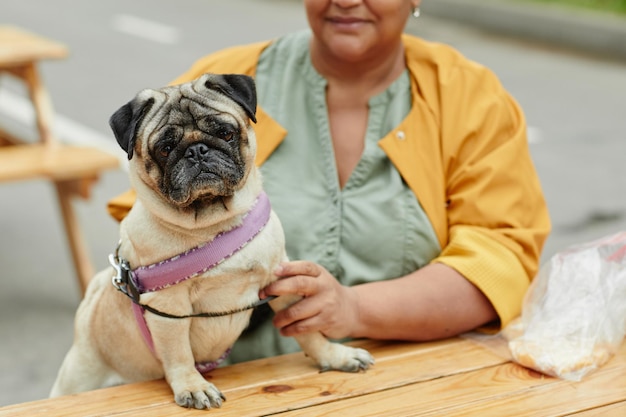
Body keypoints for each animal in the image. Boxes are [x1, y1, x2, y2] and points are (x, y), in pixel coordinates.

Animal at [50, 73, 370, 408]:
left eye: (225, 133)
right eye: (165, 148)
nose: (197, 150)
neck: (213, 225)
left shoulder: (280, 280)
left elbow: (310, 332)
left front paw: (334, 356)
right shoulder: (168, 307)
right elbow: (179, 354)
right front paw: (193, 387)